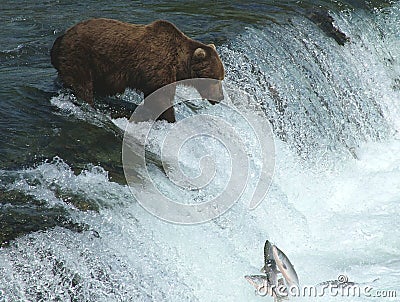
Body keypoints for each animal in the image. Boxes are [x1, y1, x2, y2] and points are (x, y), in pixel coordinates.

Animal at [50, 17, 225, 121]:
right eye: (216, 80)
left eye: (221, 78)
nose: (221, 97)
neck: (179, 63)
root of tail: (61, 37)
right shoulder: (158, 68)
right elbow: (161, 98)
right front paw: (170, 119)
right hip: (81, 57)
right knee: (82, 85)